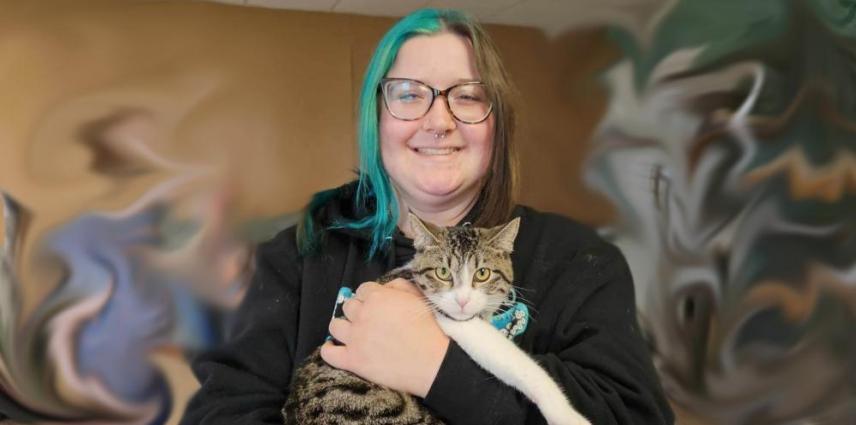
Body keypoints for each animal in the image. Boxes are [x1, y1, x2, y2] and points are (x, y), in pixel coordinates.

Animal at [282, 213, 590, 425]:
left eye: (482, 274)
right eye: (443, 273)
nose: (462, 300)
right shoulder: (452, 319)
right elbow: (515, 363)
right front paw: (566, 415)